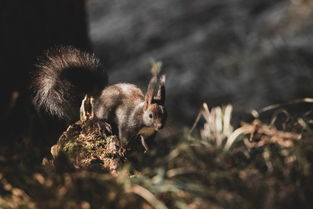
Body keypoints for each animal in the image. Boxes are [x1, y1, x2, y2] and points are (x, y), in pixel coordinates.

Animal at [32, 45, 166, 151]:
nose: (160, 126)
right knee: (96, 117)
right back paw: (101, 124)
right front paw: (124, 148)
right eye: (150, 115)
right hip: (105, 110)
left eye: (166, 114)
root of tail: (97, 96)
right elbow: (124, 138)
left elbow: (147, 143)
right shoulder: (128, 124)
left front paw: (149, 150)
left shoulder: (149, 134)